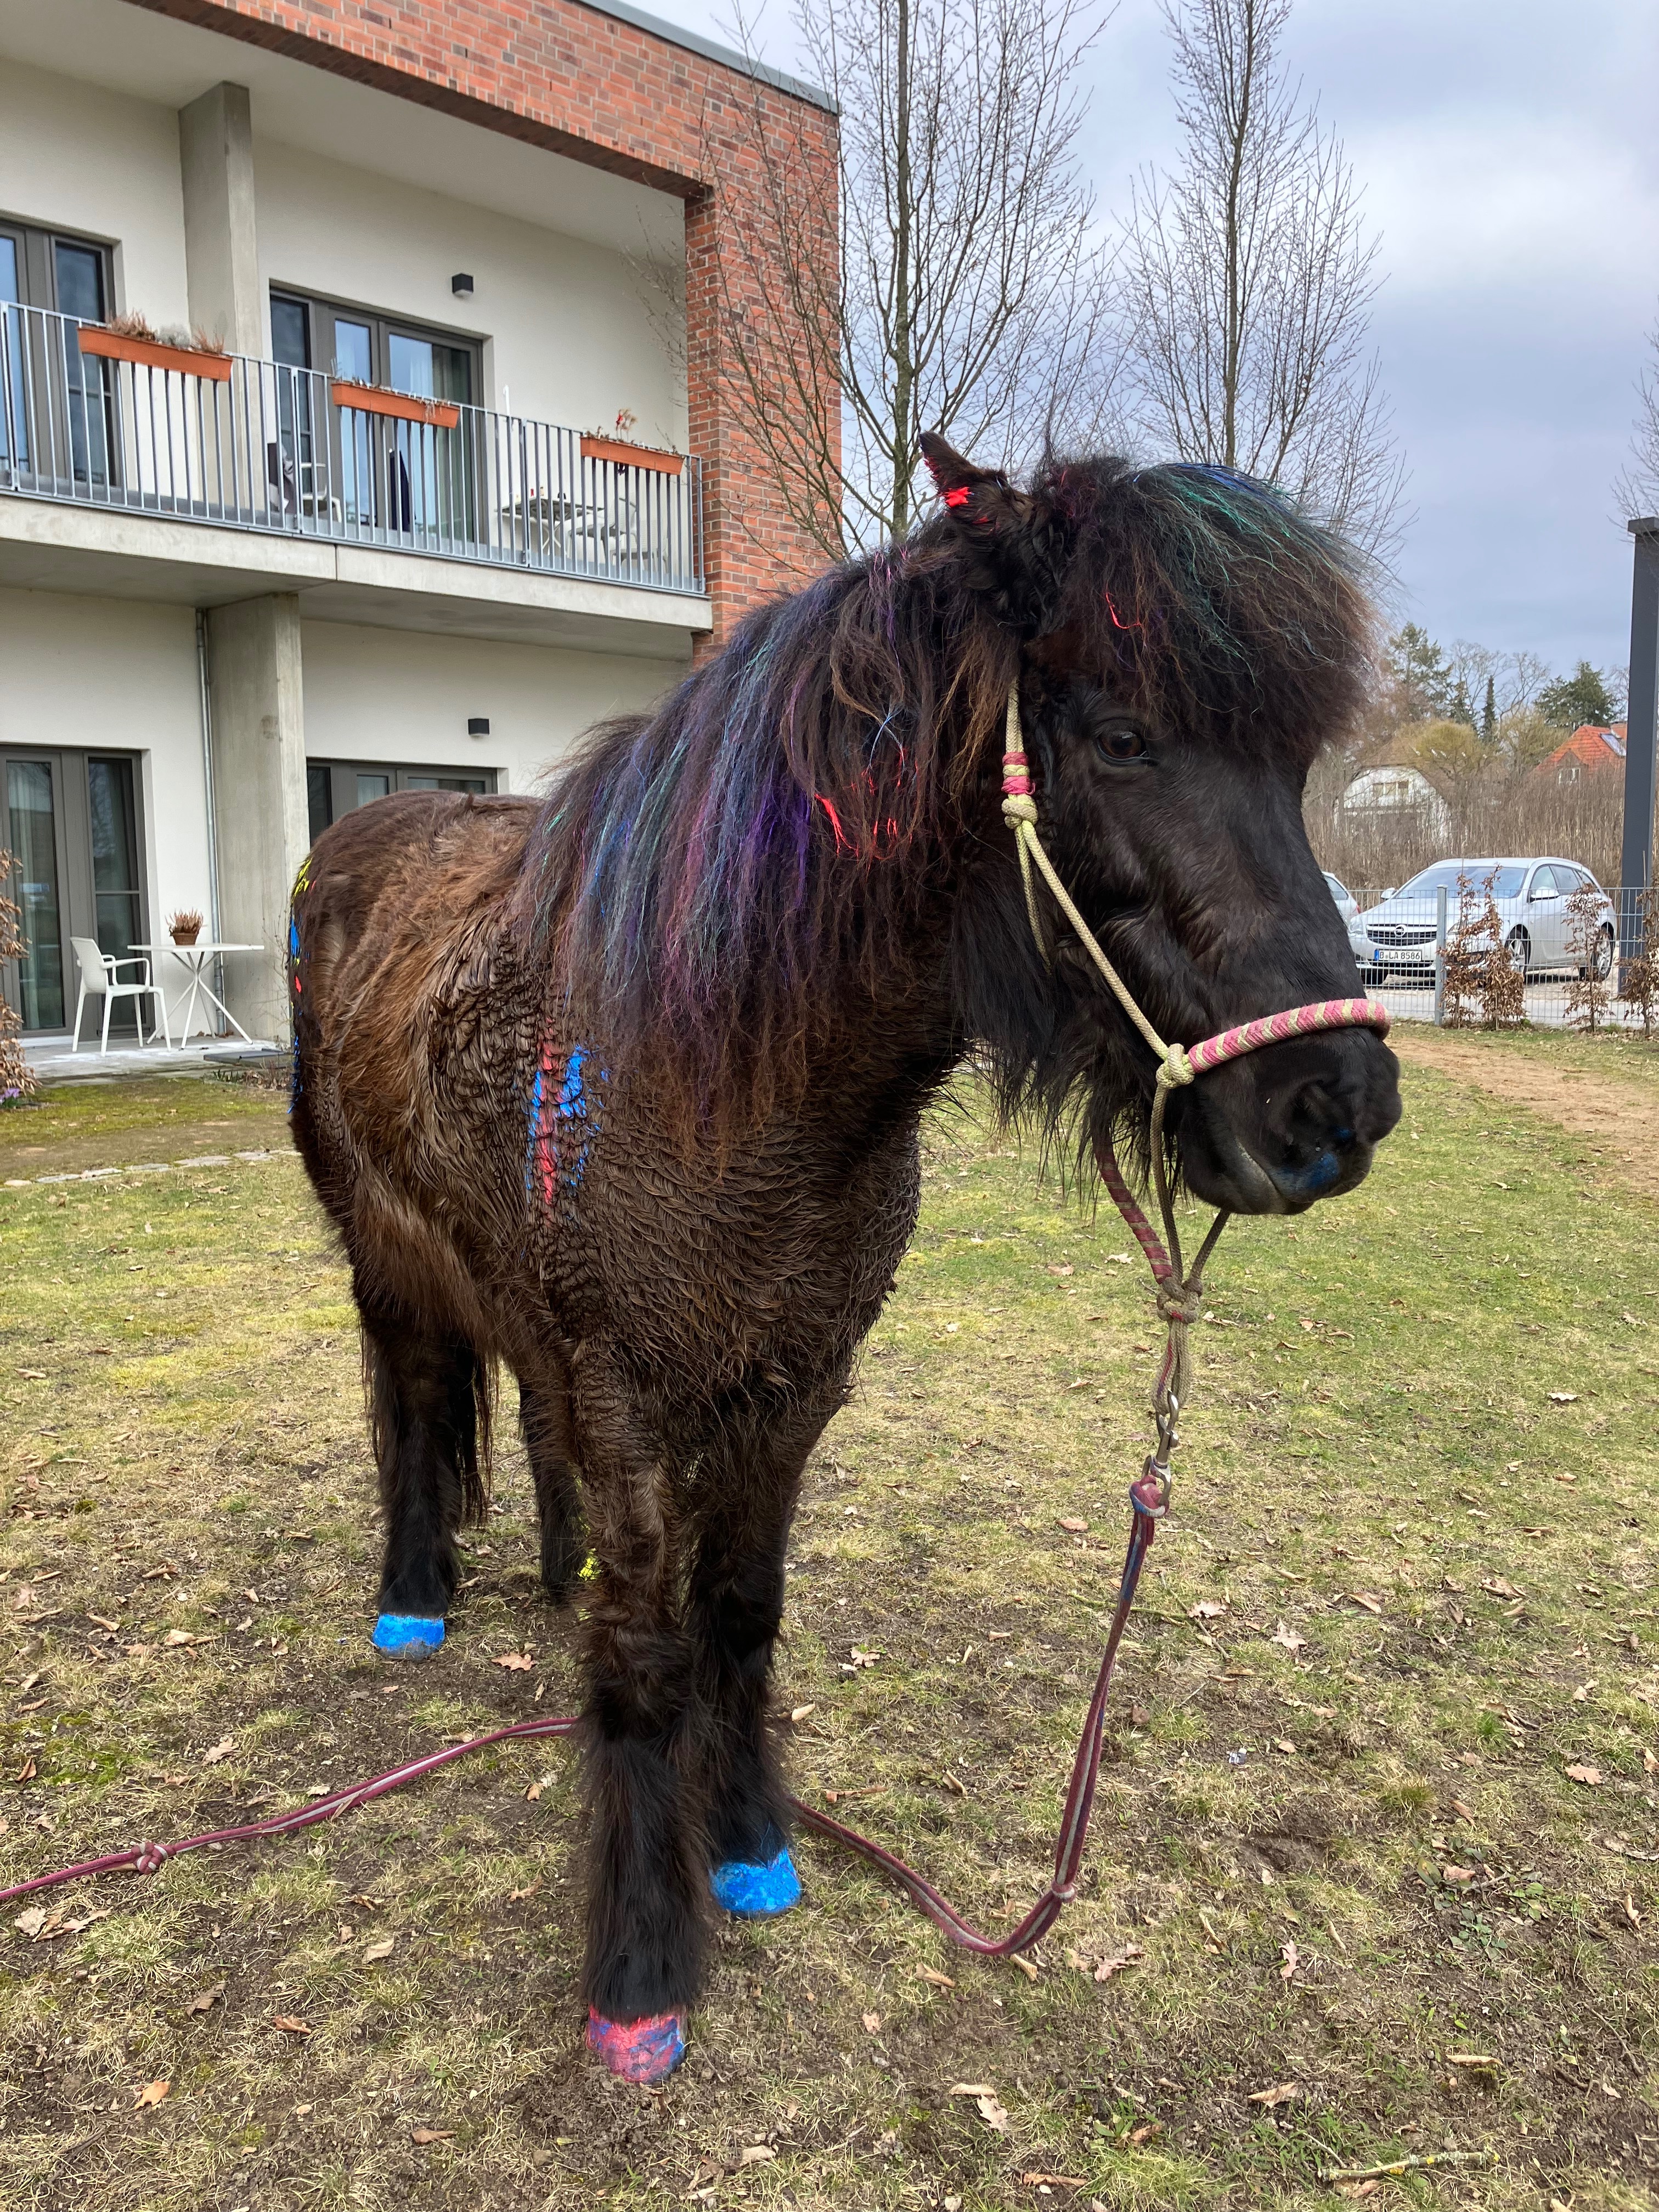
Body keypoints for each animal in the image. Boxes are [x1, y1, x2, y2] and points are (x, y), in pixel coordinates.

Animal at [288, 434, 1402, 2081]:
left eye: (1294, 769)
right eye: (1123, 735)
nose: (1337, 1107)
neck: (729, 1070)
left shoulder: (797, 1384)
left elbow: (741, 1618)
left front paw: (750, 1846)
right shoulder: (630, 1397)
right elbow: (644, 1653)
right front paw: (640, 1971)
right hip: (383, 1249)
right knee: (418, 1394)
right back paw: (415, 1595)